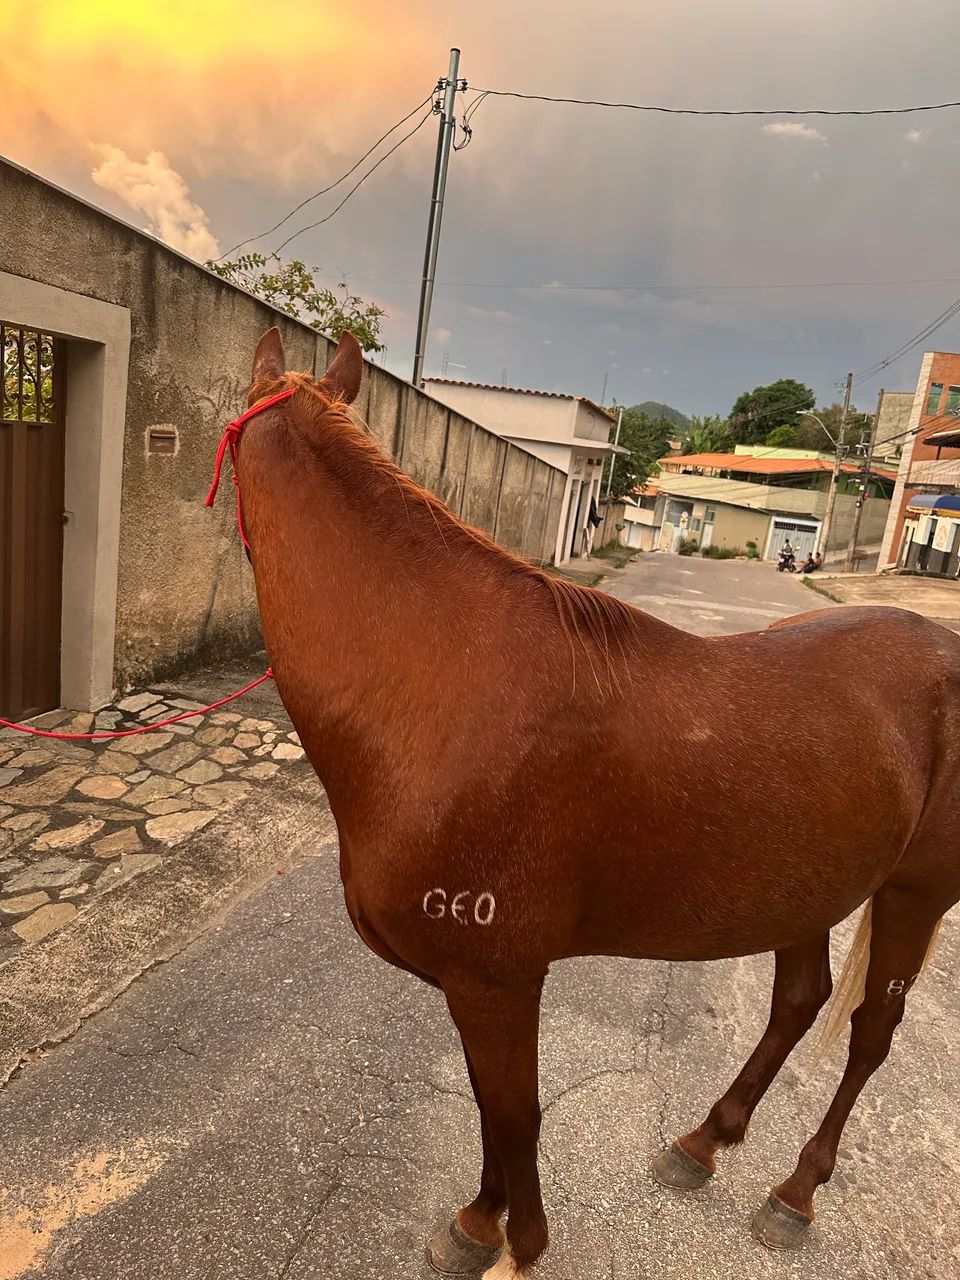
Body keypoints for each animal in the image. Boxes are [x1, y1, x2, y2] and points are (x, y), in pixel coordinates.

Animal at [224, 326, 959, 1279]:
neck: (437, 683)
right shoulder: (479, 985)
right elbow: (486, 1105)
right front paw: (480, 1219)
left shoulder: (498, 977)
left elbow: (515, 1114)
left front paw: (520, 1242)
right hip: (808, 884)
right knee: (800, 1000)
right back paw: (702, 1142)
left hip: (913, 895)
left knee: (870, 1029)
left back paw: (795, 1193)